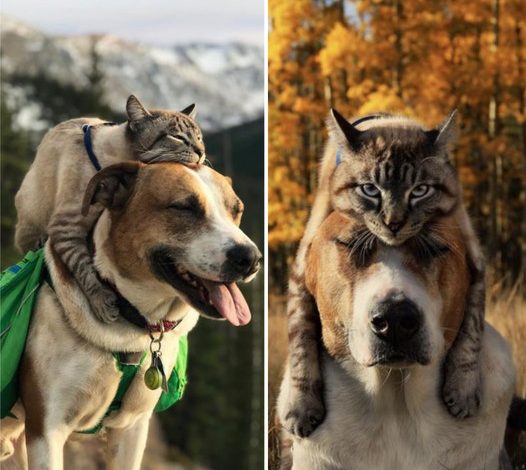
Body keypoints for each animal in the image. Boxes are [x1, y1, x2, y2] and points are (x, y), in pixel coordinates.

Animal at [0, 160, 262, 468]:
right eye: (184, 207)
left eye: (237, 210)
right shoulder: (46, 429)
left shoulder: (132, 429)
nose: (251, 258)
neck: (130, 324)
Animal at [14, 94, 206, 324]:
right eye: (177, 137)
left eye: (199, 138)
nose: (201, 152)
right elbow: (84, 268)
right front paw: (105, 306)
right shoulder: (66, 229)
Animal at [284, 110, 486, 436]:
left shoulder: (476, 260)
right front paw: (300, 406)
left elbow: (473, 329)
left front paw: (464, 389)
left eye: (420, 191)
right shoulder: (299, 271)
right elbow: (299, 337)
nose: (394, 223)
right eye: (370, 189)